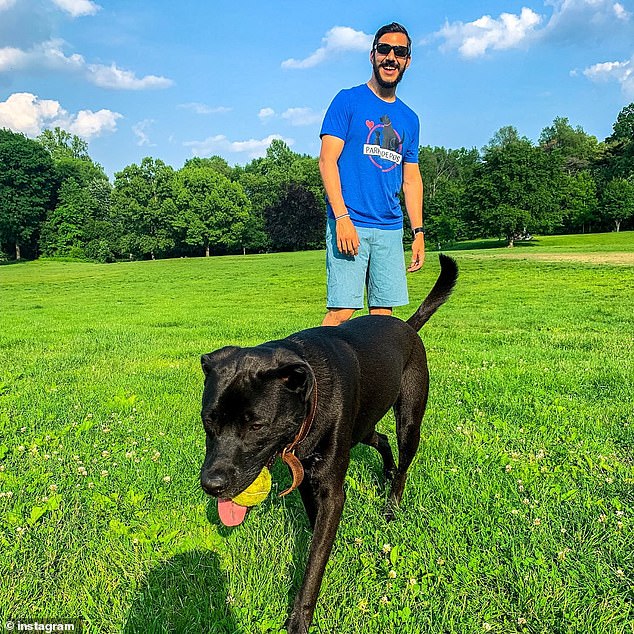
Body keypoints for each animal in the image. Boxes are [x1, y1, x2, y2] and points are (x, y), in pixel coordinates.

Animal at [198, 253, 454, 632]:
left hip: (409, 419)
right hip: (362, 427)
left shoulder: (332, 491)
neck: (309, 395)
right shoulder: (307, 478)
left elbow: (314, 564)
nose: (211, 485)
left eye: (256, 425)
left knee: (403, 456)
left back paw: (391, 503)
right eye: (208, 421)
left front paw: (298, 620)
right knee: (381, 439)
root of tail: (407, 327)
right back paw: (386, 472)